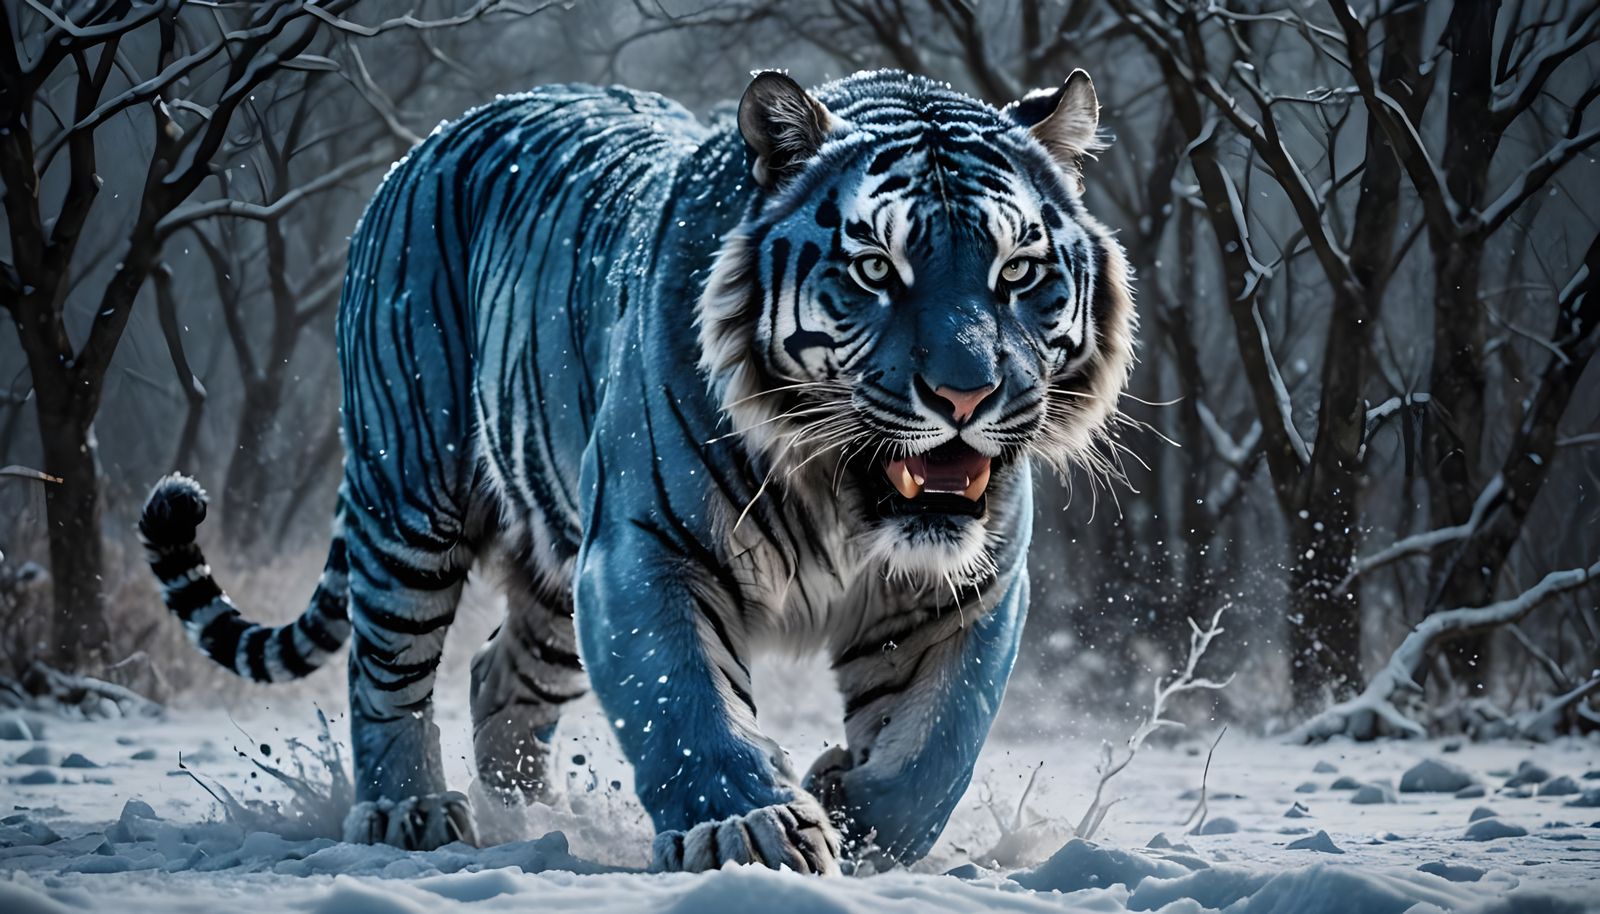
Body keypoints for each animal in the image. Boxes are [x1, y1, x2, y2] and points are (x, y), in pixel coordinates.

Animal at [138, 68, 1135, 872]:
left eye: (1018, 271)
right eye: (875, 269)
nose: (967, 394)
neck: (842, 497)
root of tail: (435, 139)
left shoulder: (968, 590)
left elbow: (937, 747)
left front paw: (851, 812)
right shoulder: (644, 551)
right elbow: (683, 705)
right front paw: (754, 829)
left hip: (551, 570)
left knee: (499, 676)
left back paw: (535, 816)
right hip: (410, 496)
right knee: (387, 669)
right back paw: (406, 814)